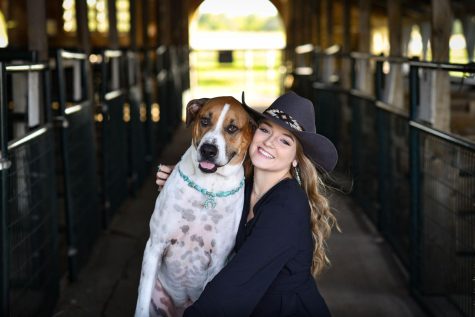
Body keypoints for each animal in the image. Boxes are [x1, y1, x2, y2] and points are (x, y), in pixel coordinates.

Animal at [134, 95, 256, 314]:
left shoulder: (218, 261)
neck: (209, 187)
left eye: (232, 128)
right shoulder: (155, 246)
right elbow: (142, 303)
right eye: (205, 121)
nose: (208, 150)